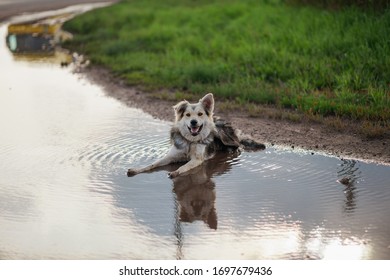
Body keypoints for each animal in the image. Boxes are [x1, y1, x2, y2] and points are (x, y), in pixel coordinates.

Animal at [126, 93, 264, 178]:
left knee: (238, 144)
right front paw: (137, 169)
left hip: (224, 137)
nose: (193, 122)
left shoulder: (197, 159)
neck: (190, 141)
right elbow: (153, 164)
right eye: (187, 115)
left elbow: (184, 166)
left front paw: (175, 172)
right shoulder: (170, 156)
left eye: (200, 114)